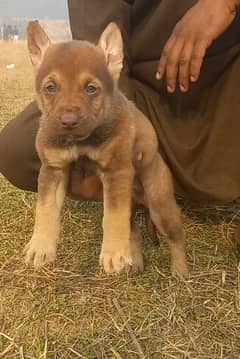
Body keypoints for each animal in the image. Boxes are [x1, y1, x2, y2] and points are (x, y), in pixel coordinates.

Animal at [24, 20, 189, 278]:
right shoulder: (53, 170)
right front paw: (40, 246)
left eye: (91, 89)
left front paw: (112, 253)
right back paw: (134, 260)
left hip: (160, 206)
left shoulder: (116, 171)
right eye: (50, 88)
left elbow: (112, 217)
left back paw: (180, 269)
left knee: (175, 236)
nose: (68, 121)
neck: (81, 141)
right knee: (133, 231)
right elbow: (45, 209)